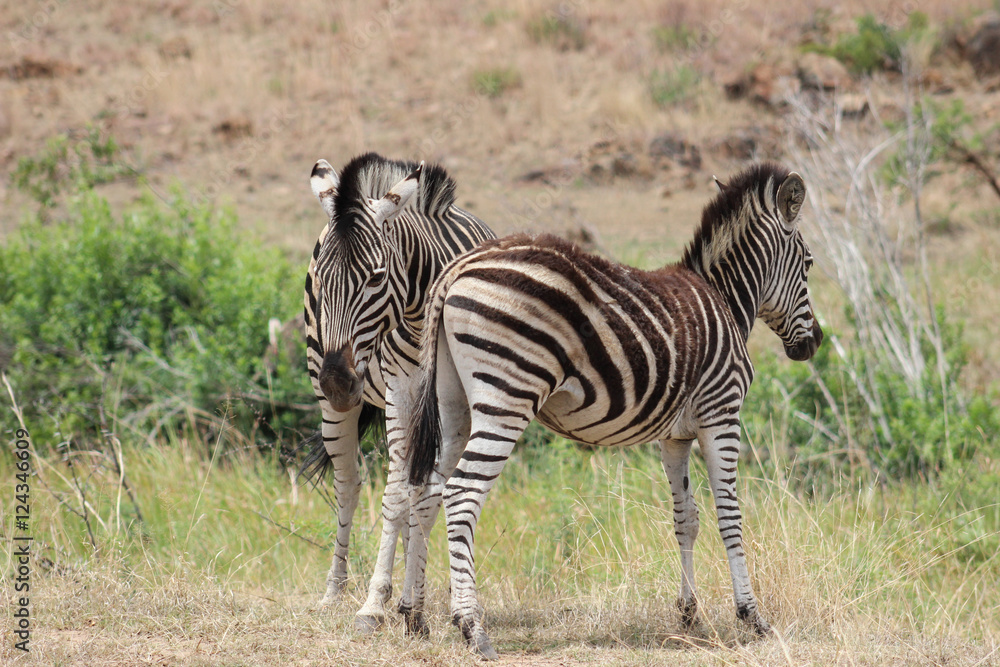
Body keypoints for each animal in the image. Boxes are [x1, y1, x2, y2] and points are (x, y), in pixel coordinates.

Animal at [301, 152, 495, 631]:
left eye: (375, 277)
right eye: (322, 279)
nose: (338, 383)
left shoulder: (457, 403)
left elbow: (428, 493)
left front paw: (420, 598)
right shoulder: (401, 391)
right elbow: (395, 495)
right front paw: (376, 601)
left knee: (418, 487)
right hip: (334, 403)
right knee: (349, 485)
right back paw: (336, 591)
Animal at [402, 162, 822, 659]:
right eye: (809, 263)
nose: (814, 343)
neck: (725, 298)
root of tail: (458, 268)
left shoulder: (674, 436)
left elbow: (686, 518)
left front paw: (688, 614)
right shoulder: (722, 413)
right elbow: (729, 516)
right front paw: (752, 617)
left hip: (453, 405)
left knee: (426, 491)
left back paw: (414, 617)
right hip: (507, 396)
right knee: (462, 493)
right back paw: (472, 628)